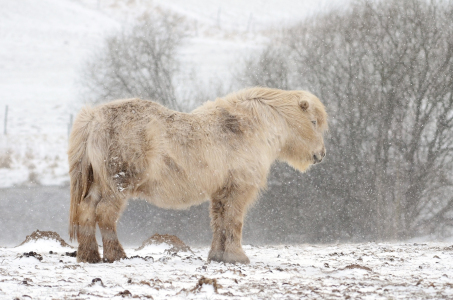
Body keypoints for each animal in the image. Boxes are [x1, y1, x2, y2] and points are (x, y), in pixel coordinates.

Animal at [67, 86, 326, 262]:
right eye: (313, 122)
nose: (321, 154)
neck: (249, 127)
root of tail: (94, 119)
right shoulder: (238, 188)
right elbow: (234, 220)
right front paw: (237, 256)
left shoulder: (221, 191)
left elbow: (220, 221)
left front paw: (218, 255)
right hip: (118, 184)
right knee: (104, 213)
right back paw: (116, 255)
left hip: (98, 183)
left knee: (87, 210)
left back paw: (89, 256)